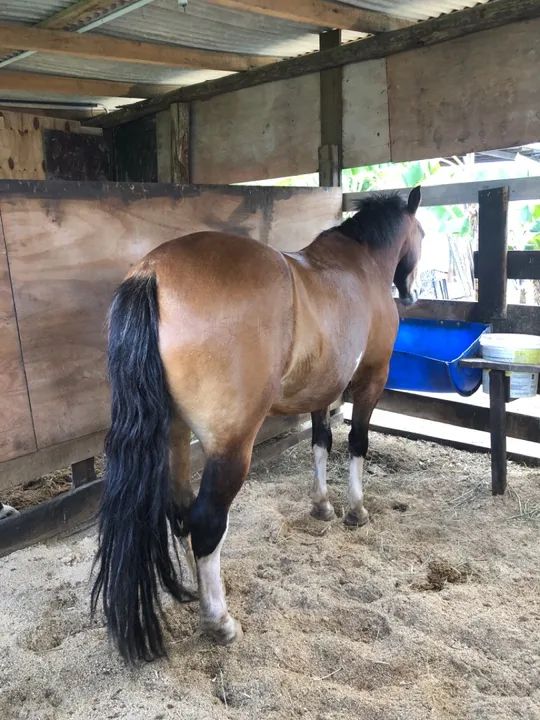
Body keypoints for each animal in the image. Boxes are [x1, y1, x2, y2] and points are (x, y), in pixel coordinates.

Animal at [91, 187, 424, 663]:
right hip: (231, 446)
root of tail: (152, 273)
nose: (411, 294)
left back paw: (199, 594)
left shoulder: (321, 390)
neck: (360, 263)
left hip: (174, 435)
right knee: (206, 520)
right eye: (422, 235)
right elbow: (357, 444)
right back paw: (220, 622)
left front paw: (322, 505)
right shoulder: (371, 380)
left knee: (181, 512)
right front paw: (356, 510)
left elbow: (320, 443)